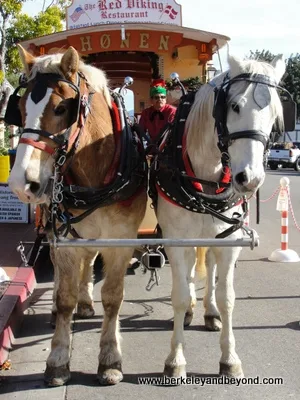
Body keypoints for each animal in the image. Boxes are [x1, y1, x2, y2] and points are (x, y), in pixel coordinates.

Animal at [9, 45, 149, 386]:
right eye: (18, 108)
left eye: (62, 108)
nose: (21, 184)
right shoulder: (65, 239)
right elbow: (64, 298)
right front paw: (58, 360)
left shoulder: (121, 239)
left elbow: (112, 297)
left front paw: (110, 359)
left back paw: (87, 303)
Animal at [156, 54, 284, 378]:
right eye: (235, 105)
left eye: (275, 114)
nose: (250, 179)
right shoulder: (176, 241)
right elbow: (179, 295)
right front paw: (175, 358)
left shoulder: (229, 242)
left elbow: (228, 297)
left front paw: (229, 357)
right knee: (189, 275)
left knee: (210, 270)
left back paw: (209, 311)